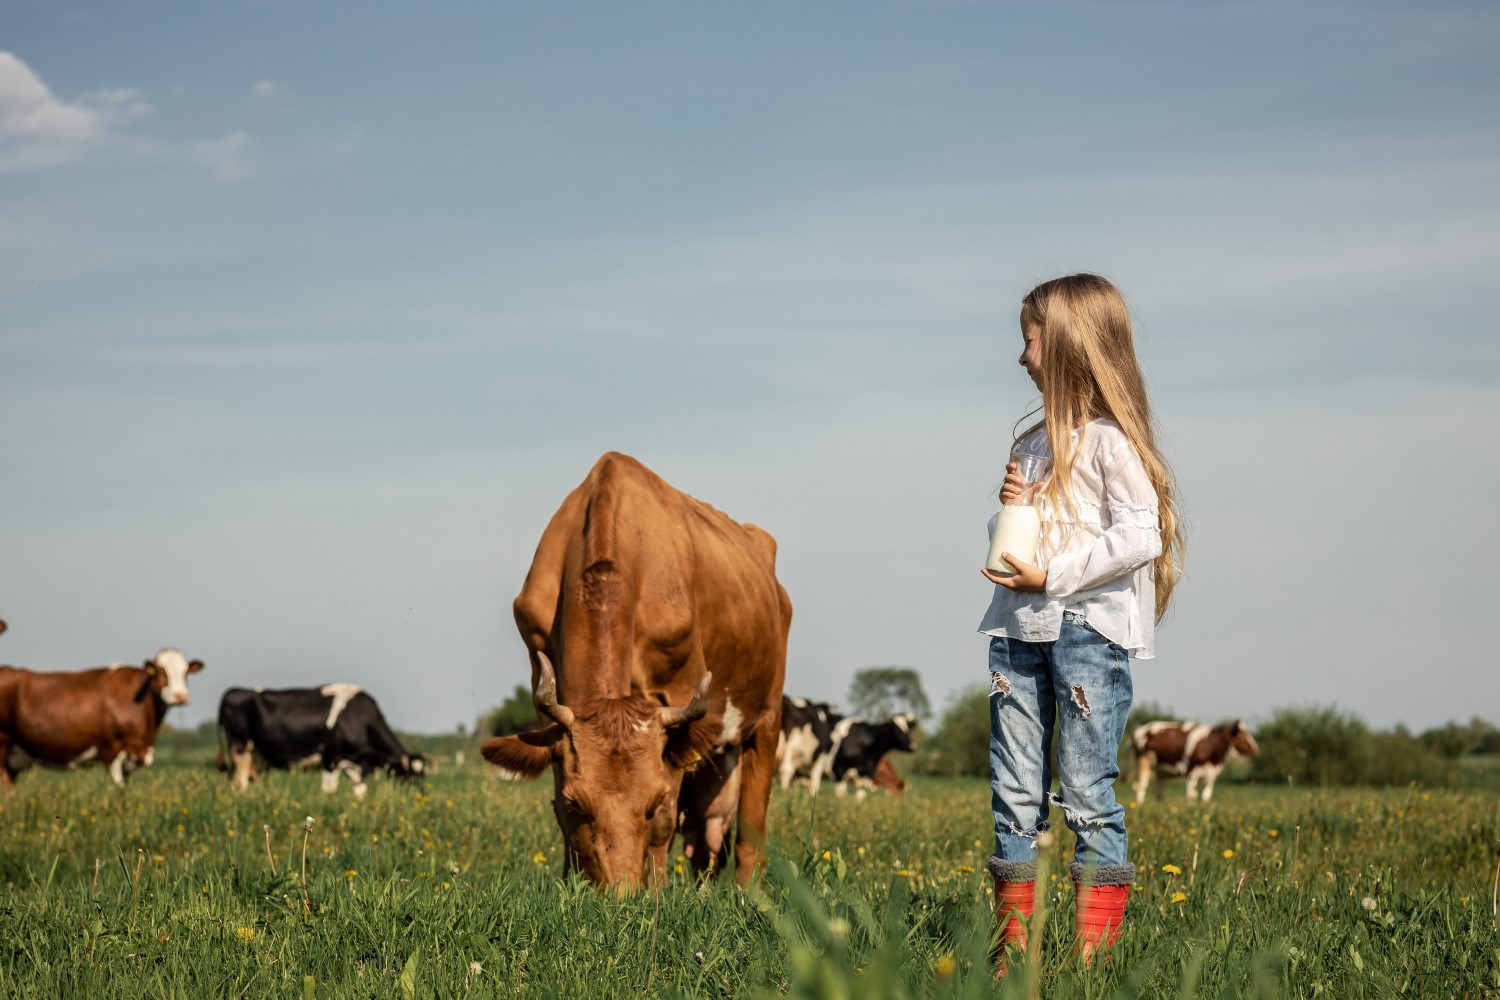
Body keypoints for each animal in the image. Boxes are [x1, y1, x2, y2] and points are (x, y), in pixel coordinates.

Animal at [0, 650, 205, 791]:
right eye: (161, 672)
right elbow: (116, 787)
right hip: (3, 742)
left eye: (186, 673)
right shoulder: (111, 749)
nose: (180, 697)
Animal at [219, 680, 429, 797]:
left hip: (256, 757)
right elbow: (329, 792)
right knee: (240, 781)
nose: (420, 794)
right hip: (240, 748)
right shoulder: (330, 759)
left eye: (423, 774)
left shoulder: (358, 766)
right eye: (411, 774)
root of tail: (232, 691)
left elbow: (360, 793)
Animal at [480, 452, 792, 893]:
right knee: (706, 835)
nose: (621, 895)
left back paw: (746, 894)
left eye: (652, 801)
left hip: (768, 716)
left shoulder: (679, 693)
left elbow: (665, 825)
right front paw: (571, 884)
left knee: (750, 829)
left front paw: (657, 895)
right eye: (576, 803)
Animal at [1128, 719, 1260, 803]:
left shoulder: (1211, 773)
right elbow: (1191, 795)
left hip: (1160, 768)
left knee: (1158, 789)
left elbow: (1205, 795)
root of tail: (1139, 730)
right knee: (1141, 785)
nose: (1256, 749)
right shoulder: (1190, 771)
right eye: (1242, 735)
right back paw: (1140, 803)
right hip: (1143, 762)